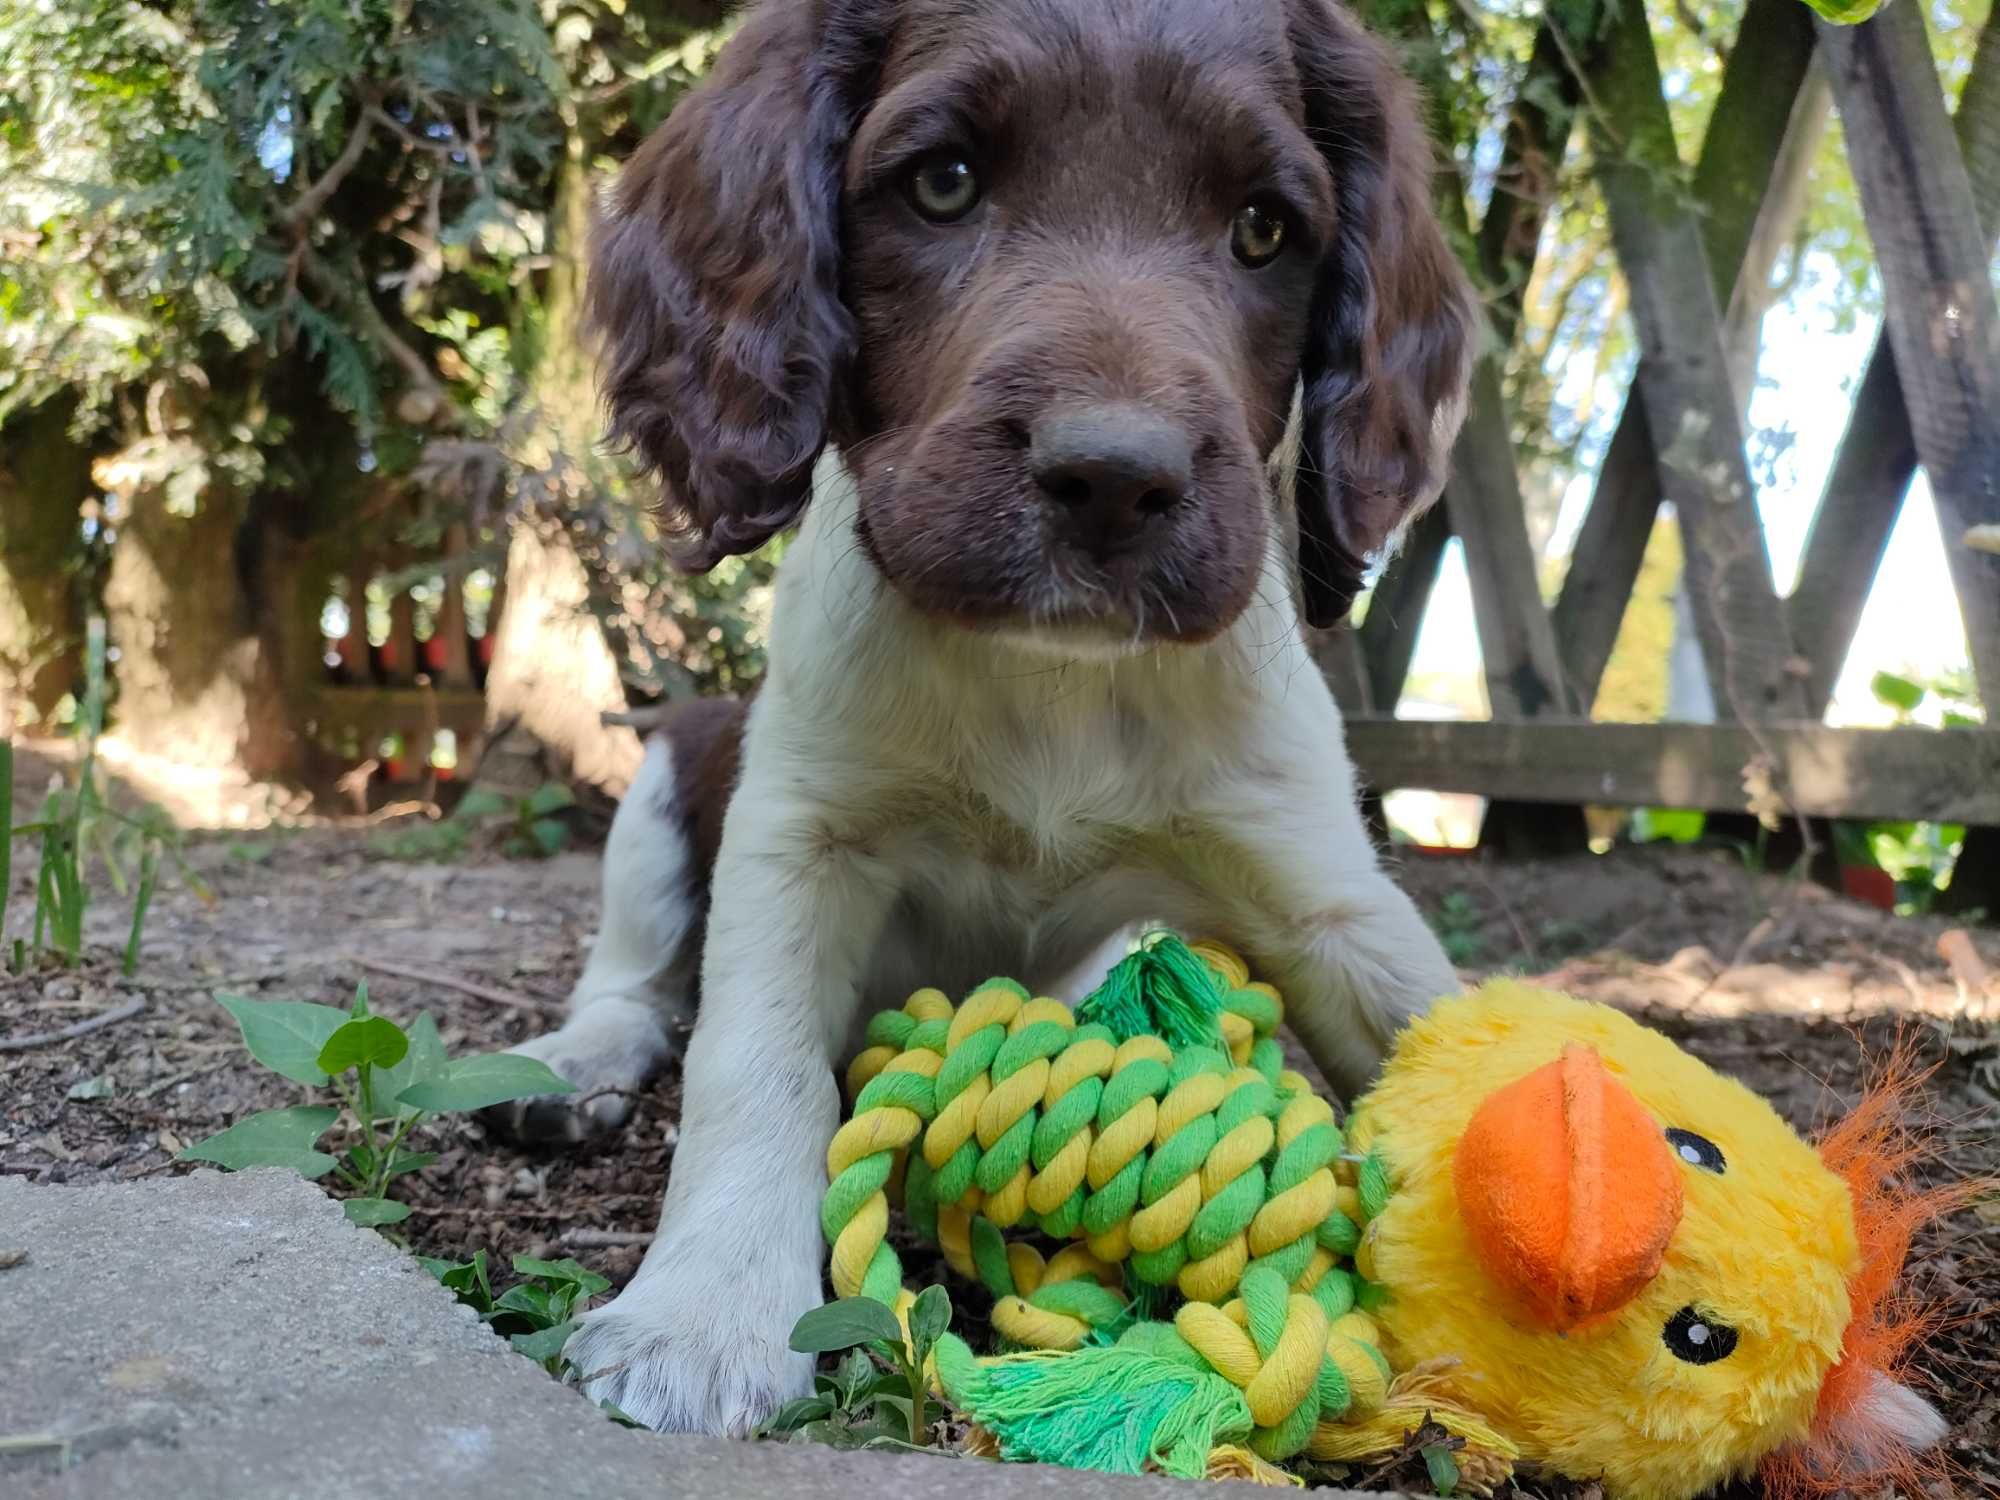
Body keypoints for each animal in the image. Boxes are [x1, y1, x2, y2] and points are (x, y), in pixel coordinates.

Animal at [492, 0, 1480, 1440]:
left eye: (1261, 230)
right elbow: (751, 1057)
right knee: (636, 979)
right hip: (677, 766)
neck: (1047, 683)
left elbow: (1468, 1041)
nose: (1115, 479)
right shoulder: (799, 834)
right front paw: (707, 1312)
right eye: (944, 183)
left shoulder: (1317, 883)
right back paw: (573, 1068)